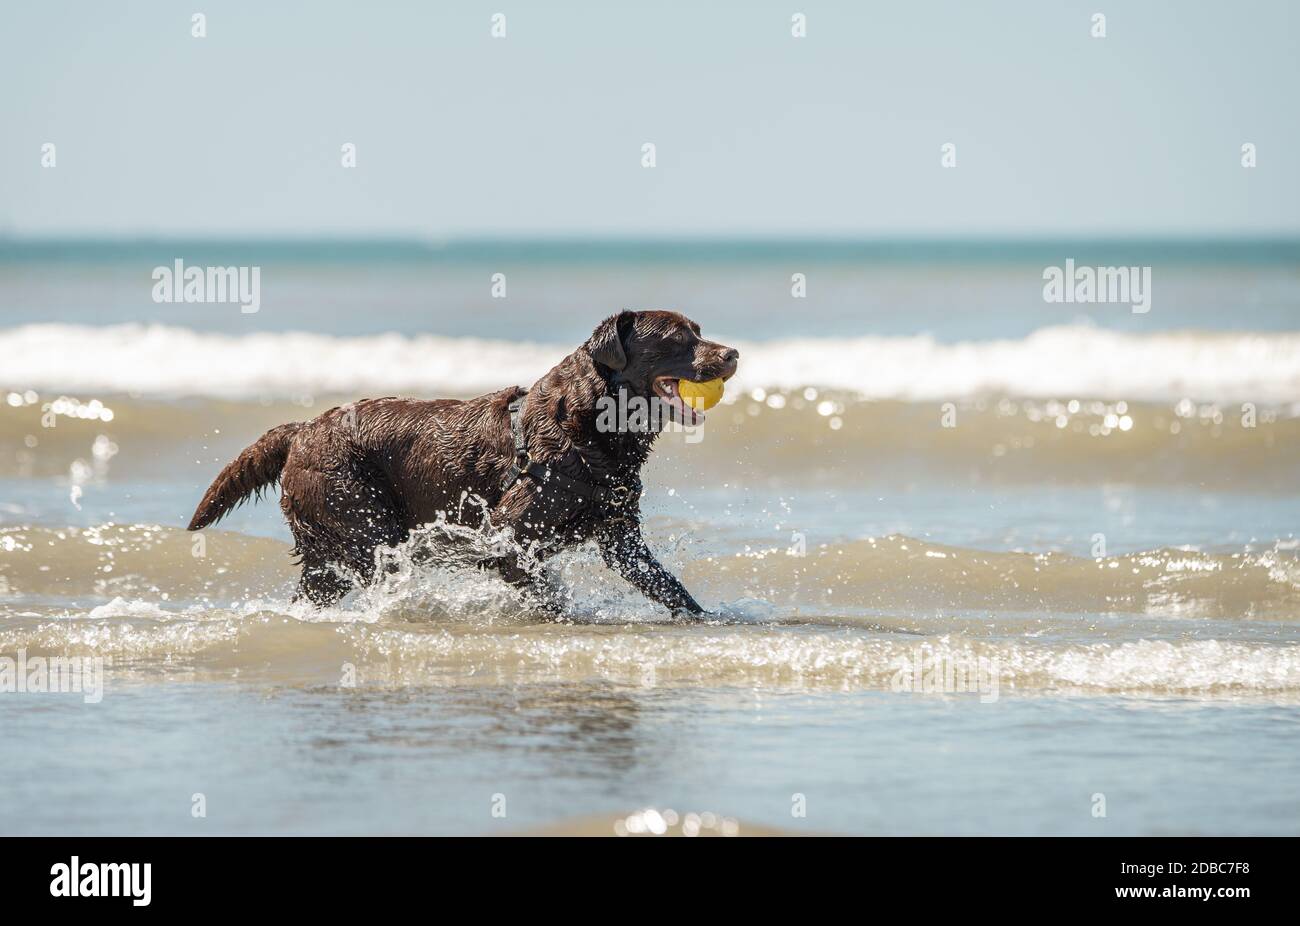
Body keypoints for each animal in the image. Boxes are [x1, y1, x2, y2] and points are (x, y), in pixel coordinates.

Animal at [191, 309, 743, 613]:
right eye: (677, 339)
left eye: (699, 330)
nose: (733, 353)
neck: (585, 428)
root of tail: (304, 429)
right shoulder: (506, 540)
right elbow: (548, 595)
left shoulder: (619, 535)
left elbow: (667, 585)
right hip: (363, 523)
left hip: (333, 551)